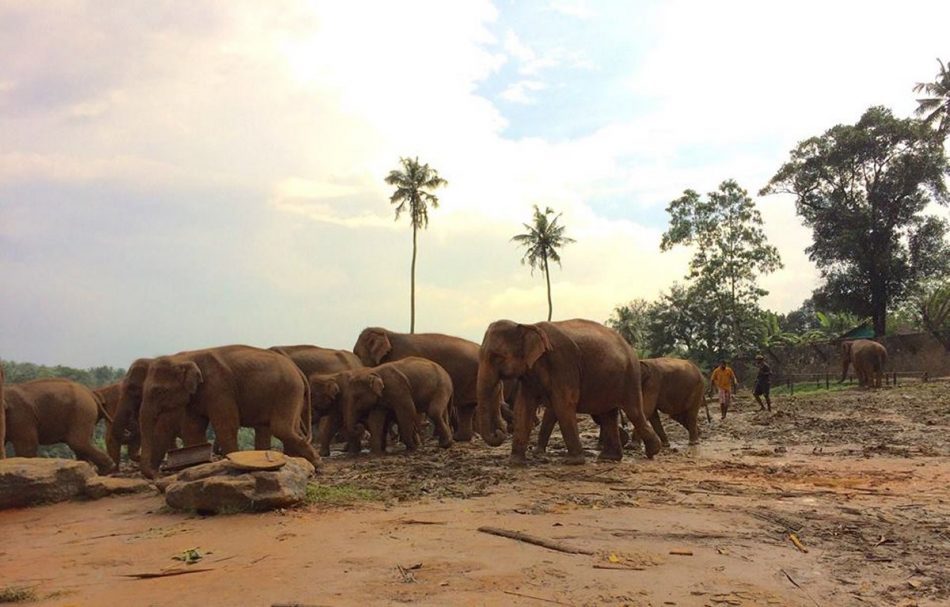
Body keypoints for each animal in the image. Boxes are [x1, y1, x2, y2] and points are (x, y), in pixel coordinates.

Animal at [138, 344, 318, 478]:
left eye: (159, 391)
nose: (157, 473)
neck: (184, 356)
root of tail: (297, 370)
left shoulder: (219, 387)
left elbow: (226, 426)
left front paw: (235, 464)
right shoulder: (197, 396)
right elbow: (192, 429)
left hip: (288, 390)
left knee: (281, 428)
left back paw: (317, 465)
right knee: (281, 428)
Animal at [476, 318, 660, 466]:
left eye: (496, 356)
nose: (499, 432)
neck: (527, 325)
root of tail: (629, 346)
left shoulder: (563, 362)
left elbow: (563, 404)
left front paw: (572, 462)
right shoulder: (530, 372)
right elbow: (523, 407)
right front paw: (515, 463)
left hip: (630, 376)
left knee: (633, 411)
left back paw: (652, 451)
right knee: (608, 414)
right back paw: (609, 458)